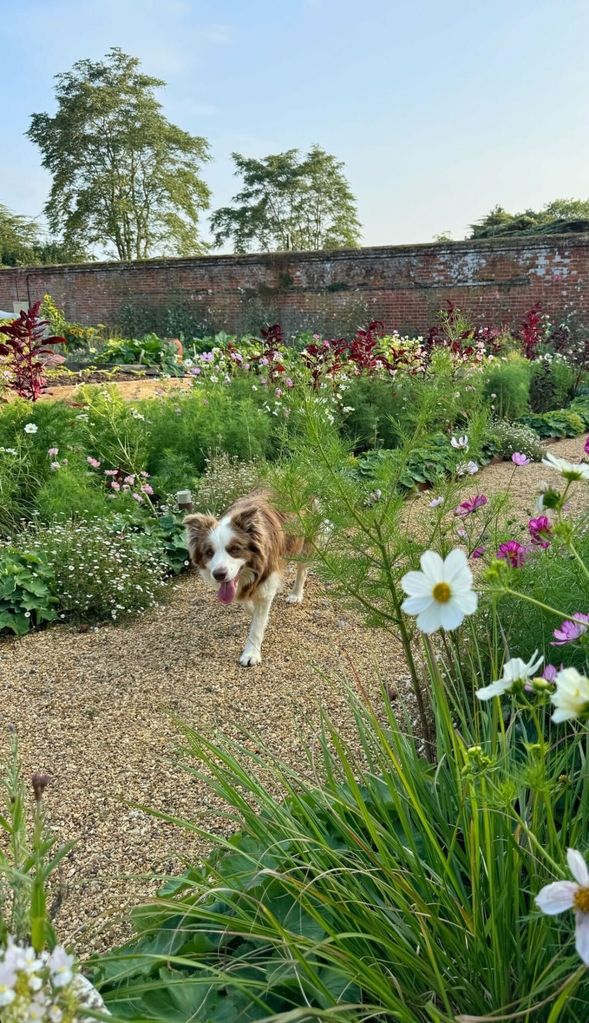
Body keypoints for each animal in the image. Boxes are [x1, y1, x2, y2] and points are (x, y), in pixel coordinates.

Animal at [185, 491, 312, 666]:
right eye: (209, 552)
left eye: (234, 549)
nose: (219, 575)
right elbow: (248, 605)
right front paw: (258, 614)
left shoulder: (267, 580)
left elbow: (257, 624)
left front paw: (251, 654)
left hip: (305, 537)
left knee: (302, 568)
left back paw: (296, 594)